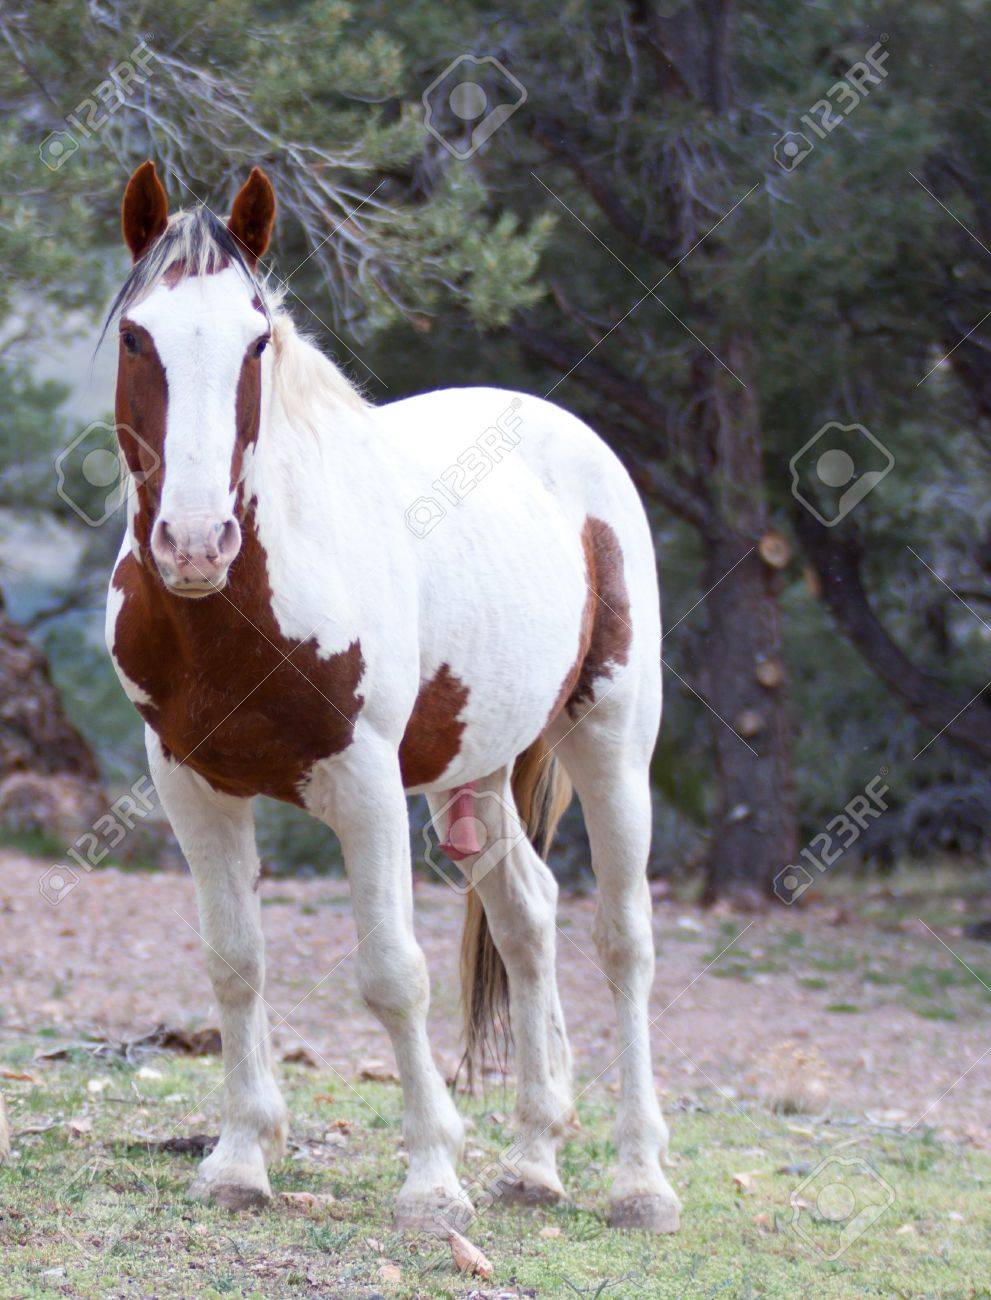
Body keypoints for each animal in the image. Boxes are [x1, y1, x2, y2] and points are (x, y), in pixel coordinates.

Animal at [104, 160, 680, 1235]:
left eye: (255, 340)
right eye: (136, 336)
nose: (194, 544)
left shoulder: (363, 784)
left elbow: (391, 974)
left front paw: (430, 1181)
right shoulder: (192, 786)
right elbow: (234, 961)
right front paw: (239, 1161)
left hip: (612, 742)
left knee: (622, 940)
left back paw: (639, 1183)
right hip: (476, 774)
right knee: (528, 917)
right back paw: (531, 1161)